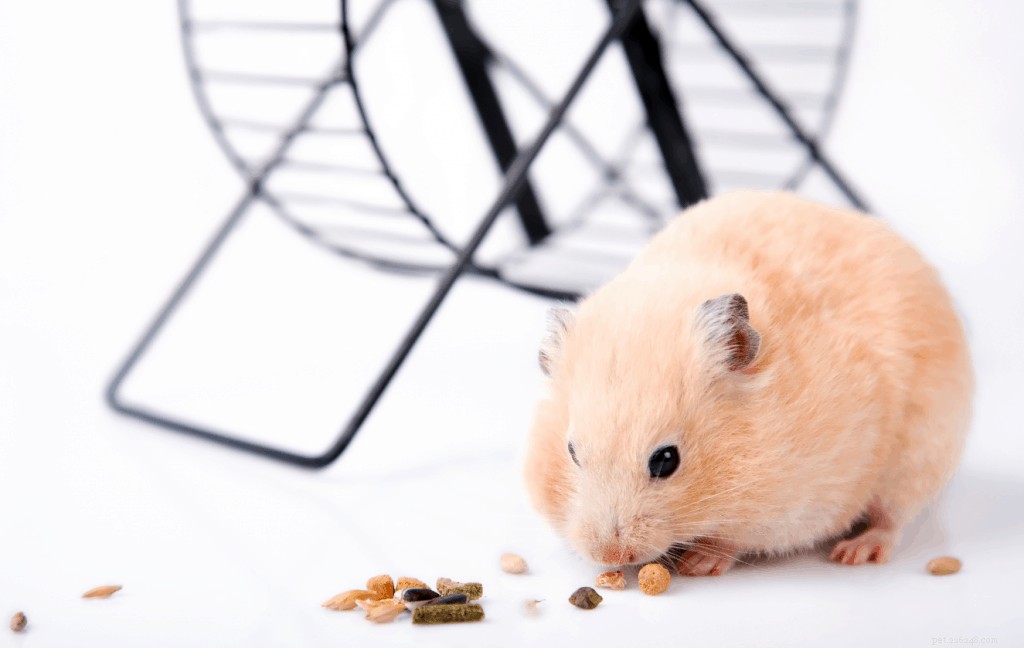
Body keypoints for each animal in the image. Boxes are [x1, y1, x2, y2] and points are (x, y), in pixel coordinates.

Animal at [524, 190, 972, 574]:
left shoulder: (792, 506)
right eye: (571, 452)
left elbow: (733, 539)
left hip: (920, 456)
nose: (611, 554)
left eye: (666, 460)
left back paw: (855, 552)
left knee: (893, 518)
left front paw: (699, 563)